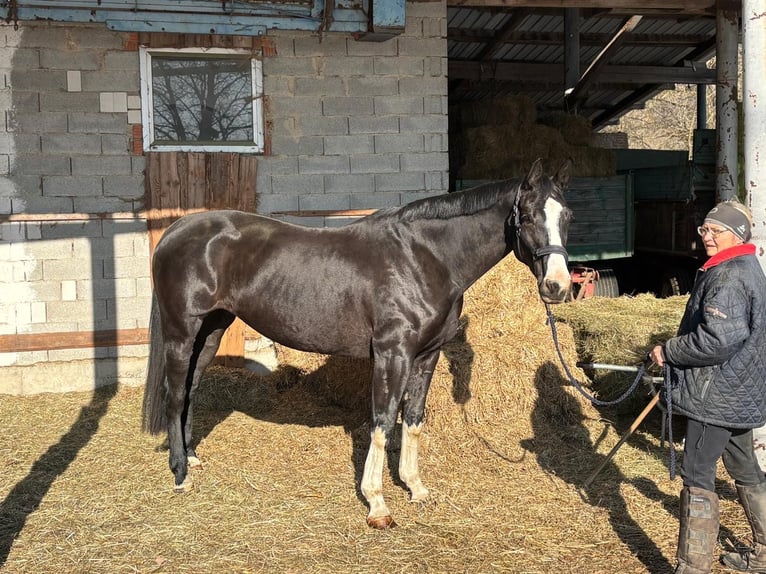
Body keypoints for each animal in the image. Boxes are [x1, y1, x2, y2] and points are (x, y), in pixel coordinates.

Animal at [141, 157, 573, 529]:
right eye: (528, 216)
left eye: (567, 216)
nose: (557, 286)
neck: (423, 258)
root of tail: (177, 230)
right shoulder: (391, 355)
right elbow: (382, 423)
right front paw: (378, 504)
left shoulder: (426, 356)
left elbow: (413, 420)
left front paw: (416, 488)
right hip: (181, 332)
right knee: (175, 394)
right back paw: (180, 474)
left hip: (212, 330)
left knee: (192, 389)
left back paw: (193, 458)